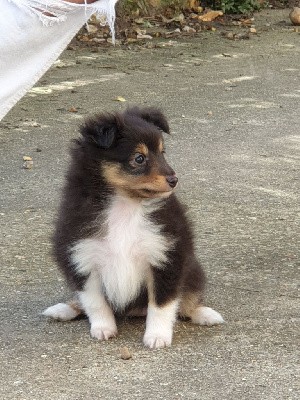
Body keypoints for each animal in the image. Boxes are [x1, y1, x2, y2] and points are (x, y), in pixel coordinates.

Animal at [43, 108, 224, 348]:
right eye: (139, 158)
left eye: (162, 152)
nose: (174, 179)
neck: (126, 205)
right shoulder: (82, 257)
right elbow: (94, 302)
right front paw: (103, 329)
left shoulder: (165, 255)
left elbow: (162, 303)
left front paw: (157, 336)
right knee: (81, 301)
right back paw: (63, 309)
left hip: (193, 270)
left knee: (187, 300)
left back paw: (204, 314)